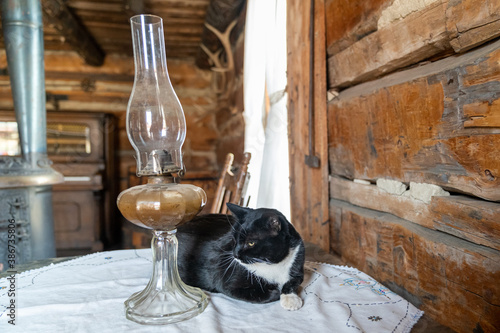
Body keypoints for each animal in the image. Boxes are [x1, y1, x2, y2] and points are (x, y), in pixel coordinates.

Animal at [178, 201, 306, 310]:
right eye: (234, 239)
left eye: (251, 243)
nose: (235, 254)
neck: (271, 264)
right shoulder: (227, 283)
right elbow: (263, 294)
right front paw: (277, 292)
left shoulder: (297, 259)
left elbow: (293, 282)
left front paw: (291, 299)